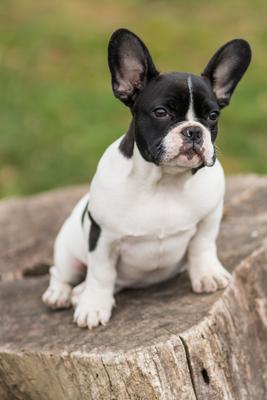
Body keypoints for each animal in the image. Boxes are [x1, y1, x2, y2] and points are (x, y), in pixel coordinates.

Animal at [43, 28, 252, 328]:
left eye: (212, 116)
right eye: (161, 112)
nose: (193, 130)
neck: (165, 181)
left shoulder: (209, 217)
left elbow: (203, 246)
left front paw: (207, 275)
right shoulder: (103, 237)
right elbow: (100, 274)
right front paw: (93, 306)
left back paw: (78, 293)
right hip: (68, 251)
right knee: (61, 272)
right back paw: (60, 294)